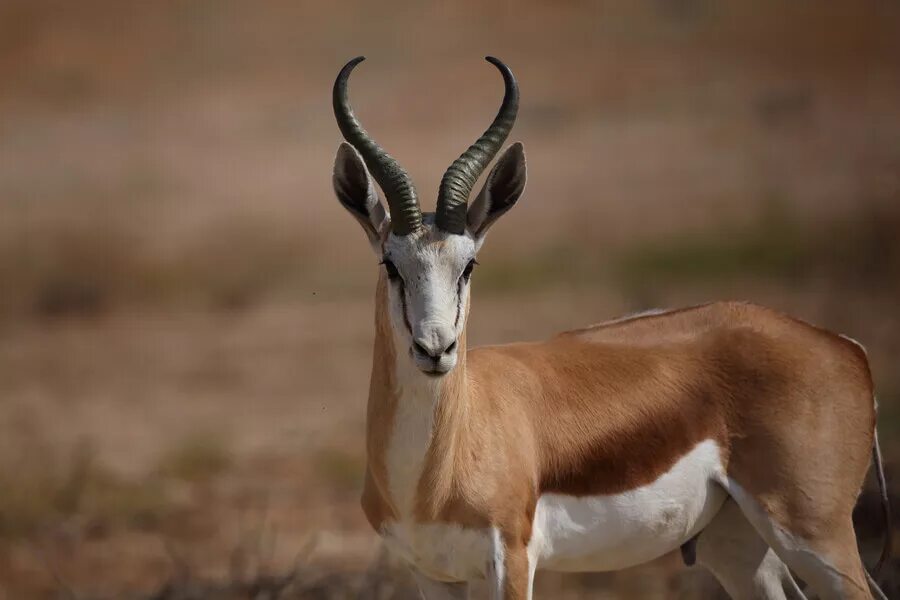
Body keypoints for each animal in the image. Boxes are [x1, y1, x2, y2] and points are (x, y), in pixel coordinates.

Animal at [328, 57, 892, 600]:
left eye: (468, 265)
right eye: (391, 265)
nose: (435, 348)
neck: (435, 472)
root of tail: (844, 346)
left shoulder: (512, 561)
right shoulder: (432, 575)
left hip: (814, 535)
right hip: (736, 548)